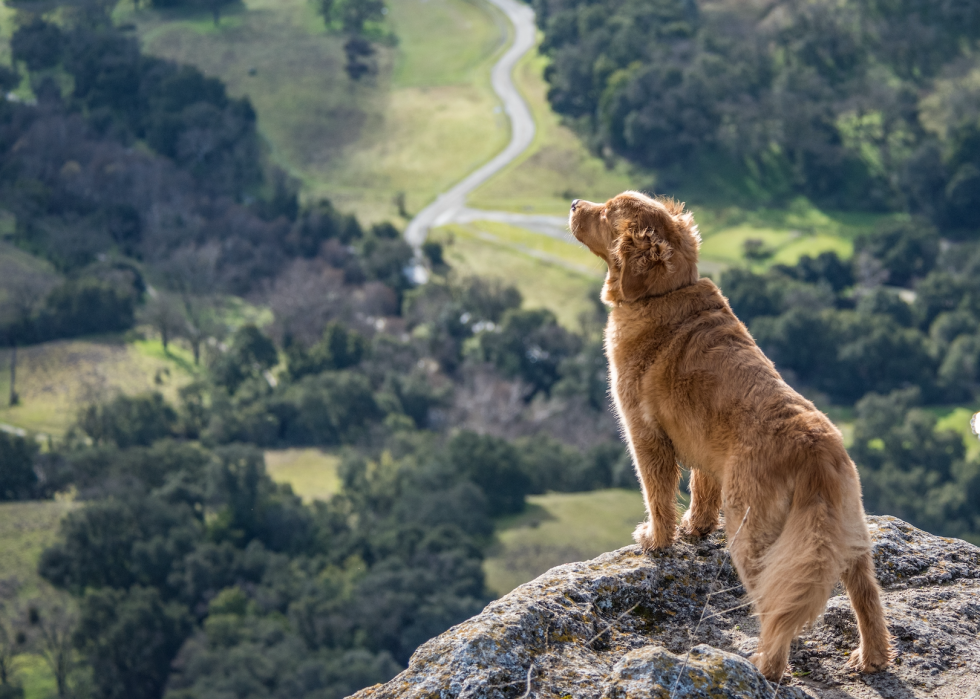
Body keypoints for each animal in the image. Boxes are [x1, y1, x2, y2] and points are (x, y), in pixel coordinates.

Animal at [568, 190, 896, 680]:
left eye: (607, 211)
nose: (573, 204)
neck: (665, 292)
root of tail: (814, 448)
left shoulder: (646, 434)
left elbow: (657, 494)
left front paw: (656, 539)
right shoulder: (703, 446)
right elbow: (701, 490)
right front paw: (696, 528)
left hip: (752, 533)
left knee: (778, 607)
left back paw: (765, 665)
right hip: (849, 532)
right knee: (867, 597)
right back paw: (871, 657)